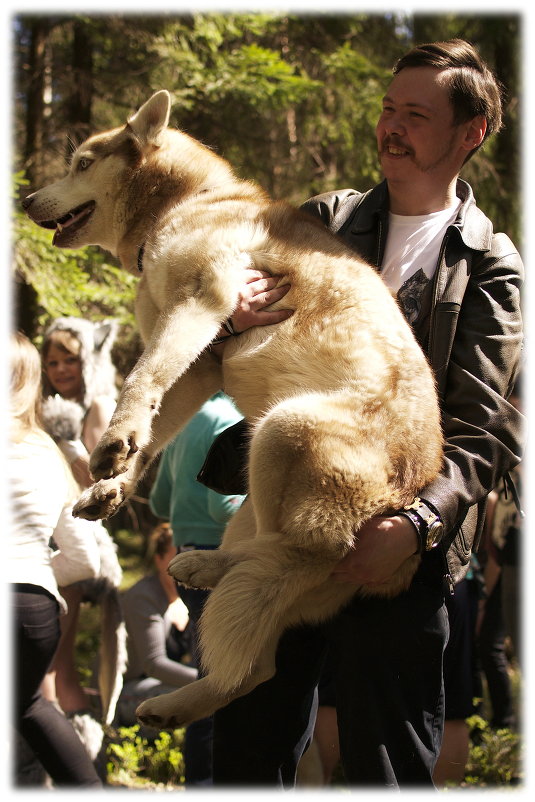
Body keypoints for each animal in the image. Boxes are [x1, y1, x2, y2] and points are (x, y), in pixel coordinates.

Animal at [23, 90, 442, 728]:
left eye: (81, 163)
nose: (24, 200)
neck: (186, 202)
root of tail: (407, 498)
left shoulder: (205, 301)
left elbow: (139, 382)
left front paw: (113, 443)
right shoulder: (202, 364)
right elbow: (154, 431)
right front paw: (114, 484)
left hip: (281, 429)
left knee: (300, 554)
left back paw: (205, 570)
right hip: (260, 504)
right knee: (259, 658)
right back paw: (173, 704)